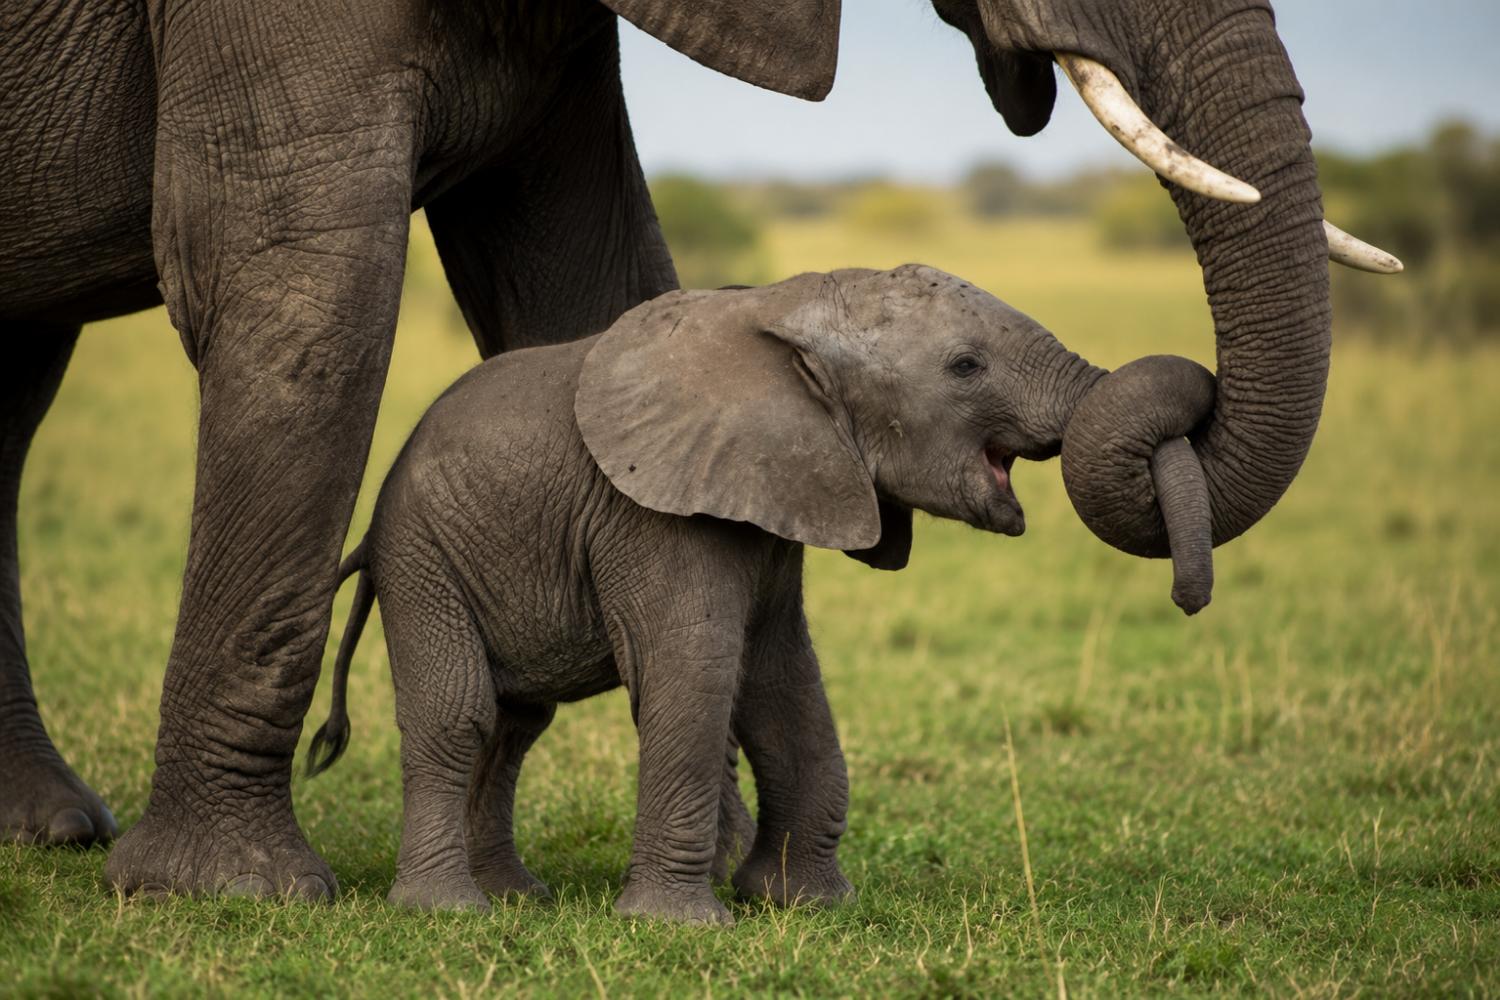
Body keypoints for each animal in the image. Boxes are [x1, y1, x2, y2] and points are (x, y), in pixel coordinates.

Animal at [301, 264, 1153, 921]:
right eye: (966, 367)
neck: (788, 311)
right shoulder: (654, 512)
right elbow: (696, 669)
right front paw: (677, 924)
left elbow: (781, 678)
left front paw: (805, 903)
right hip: (424, 555)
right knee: (461, 713)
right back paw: (447, 910)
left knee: (514, 727)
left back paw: (516, 898)